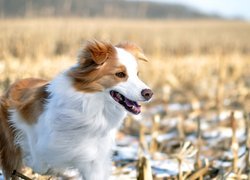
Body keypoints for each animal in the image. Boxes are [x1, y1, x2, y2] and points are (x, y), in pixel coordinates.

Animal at [0, 40, 152, 180]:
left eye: (137, 74)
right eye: (120, 74)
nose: (149, 93)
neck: (91, 107)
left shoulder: (93, 159)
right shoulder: (30, 130)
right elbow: (39, 160)